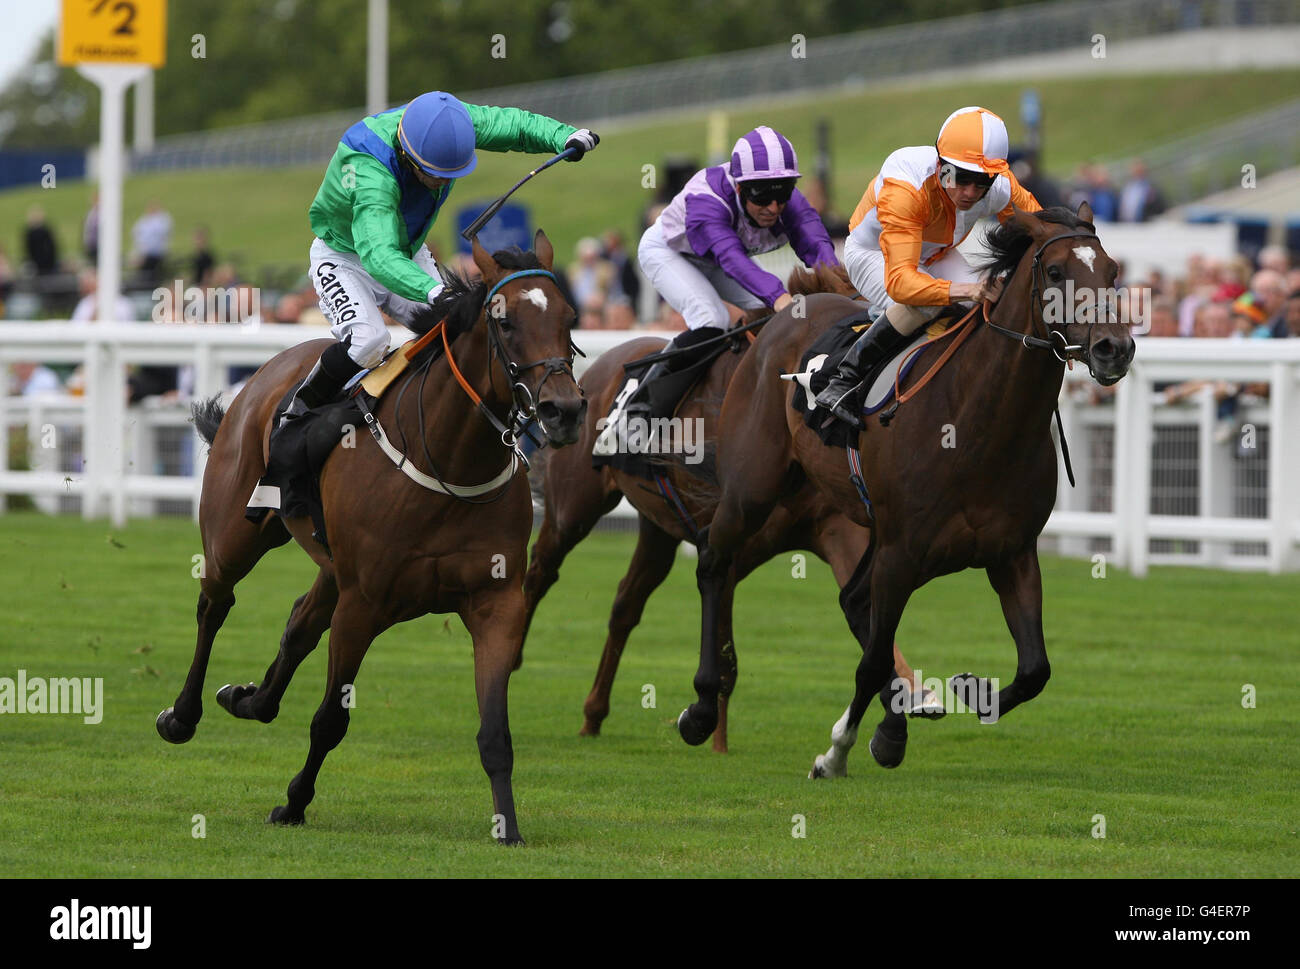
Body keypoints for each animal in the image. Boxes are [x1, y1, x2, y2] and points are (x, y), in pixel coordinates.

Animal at [154, 232, 587, 837]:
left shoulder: (496, 603)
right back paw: (181, 714)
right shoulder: (363, 606)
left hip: (334, 565)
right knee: (214, 604)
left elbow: (495, 733)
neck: (449, 462)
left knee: (299, 623)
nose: (564, 410)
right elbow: (330, 720)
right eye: (504, 323)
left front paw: (509, 829)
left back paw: (249, 699)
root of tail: (268, 369)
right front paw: (293, 803)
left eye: (570, 317)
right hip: (234, 536)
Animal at [525, 266, 935, 754]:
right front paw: (713, 737)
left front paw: (913, 695)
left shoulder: (837, 530)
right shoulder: (727, 540)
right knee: (539, 573)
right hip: (572, 509)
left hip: (658, 528)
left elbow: (865, 610)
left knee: (625, 605)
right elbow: (725, 654)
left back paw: (593, 714)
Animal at [676, 200, 1133, 775]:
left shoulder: (1011, 552)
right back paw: (700, 707)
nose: (1114, 348)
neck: (976, 423)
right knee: (715, 564)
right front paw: (835, 753)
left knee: (851, 600)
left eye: (1112, 272)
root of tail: (788, 310)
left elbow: (1035, 669)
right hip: (752, 489)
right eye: (1054, 272)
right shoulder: (902, 553)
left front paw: (968, 691)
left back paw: (896, 722)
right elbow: (871, 661)